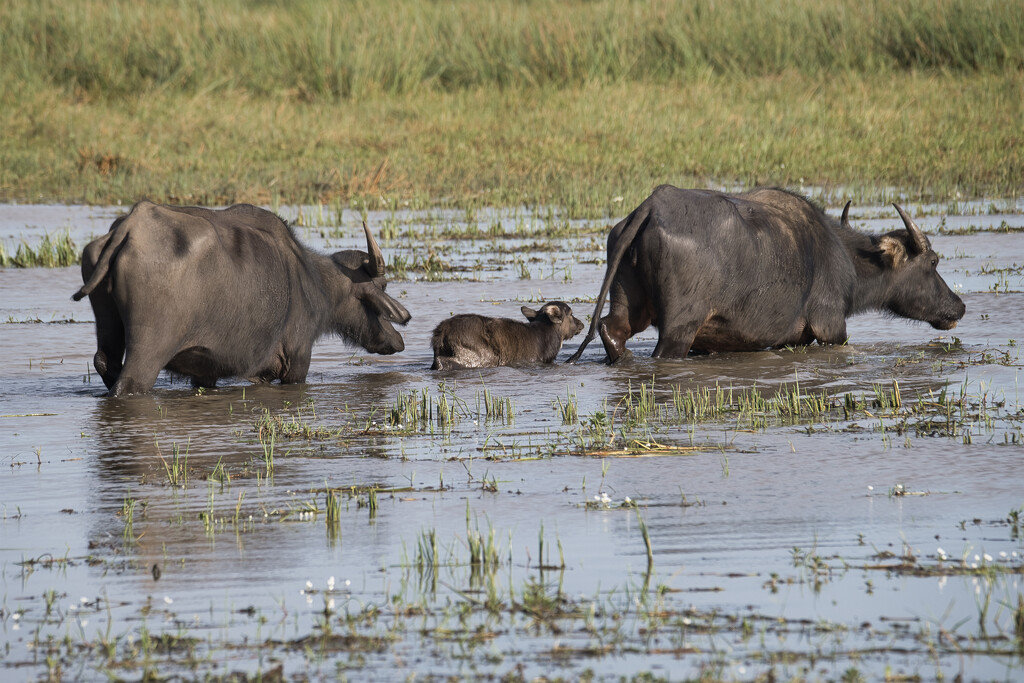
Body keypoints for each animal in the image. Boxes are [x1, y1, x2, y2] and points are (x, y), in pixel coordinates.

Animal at [73, 200, 411, 395]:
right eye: (382, 288)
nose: (398, 340)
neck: (311, 282)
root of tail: (131, 226)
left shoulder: (206, 373)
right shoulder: (296, 361)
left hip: (108, 323)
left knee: (104, 361)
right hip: (148, 351)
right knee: (129, 382)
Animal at [569, 184, 966, 366]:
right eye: (933, 262)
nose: (959, 307)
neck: (844, 257)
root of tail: (651, 205)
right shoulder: (830, 327)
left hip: (630, 304)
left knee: (612, 329)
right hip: (678, 330)